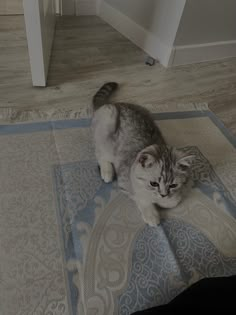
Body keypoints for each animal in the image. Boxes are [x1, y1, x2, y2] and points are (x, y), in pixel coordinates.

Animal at [91, 83, 194, 227]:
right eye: (153, 183)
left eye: (173, 185)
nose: (163, 195)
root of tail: (113, 103)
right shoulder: (125, 181)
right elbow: (142, 197)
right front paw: (151, 214)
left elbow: (173, 201)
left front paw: (166, 200)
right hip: (107, 124)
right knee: (100, 153)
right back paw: (107, 172)